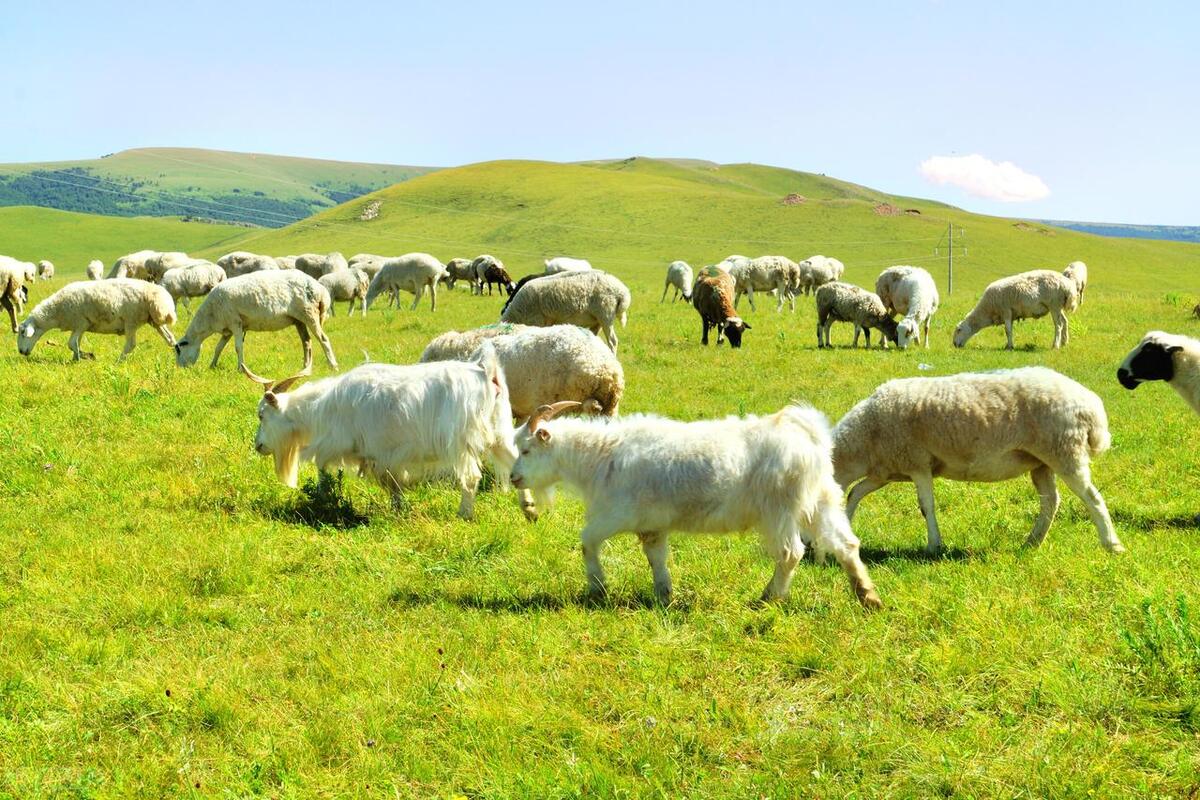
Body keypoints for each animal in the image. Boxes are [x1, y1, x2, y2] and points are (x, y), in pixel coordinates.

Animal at [17, 278, 177, 359]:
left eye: (23, 333)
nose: (21, 352)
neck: (56, 311)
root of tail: (155, 293)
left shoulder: (80, 323)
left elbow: (71, 343)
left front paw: (85, 356)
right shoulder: (81, 326)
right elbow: (75, 343)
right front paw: (76, 358)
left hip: (131, 320)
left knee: (131, 344)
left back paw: (119, 360)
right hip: (154, 320)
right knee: (170, 338)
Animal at [172, 266, 338, 371]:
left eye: (179, 351)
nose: (180, 369)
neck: (209, 317)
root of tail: (321, 290)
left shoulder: (235, 322)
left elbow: (238, 347)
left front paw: (240, 368)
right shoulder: (227, 329)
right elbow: (218, 348)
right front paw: (212, 366)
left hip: (310, 314)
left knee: (323, 339)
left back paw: (333, 365)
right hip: (299, 320)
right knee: (306, 342)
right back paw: (305, 366)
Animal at [244, 343, 520, 520]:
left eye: (262, 415)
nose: (258, 446)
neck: (324, 406)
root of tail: (485, 372)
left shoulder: (347, 445)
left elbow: (323, 468)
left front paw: (322, 499)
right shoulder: (384, 456)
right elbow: (394, 484)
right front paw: (398, 510)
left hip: (462, 443)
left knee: (471, 477)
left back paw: (464, 514)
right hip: (501, 436)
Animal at [499, 268, 633, 350]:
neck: (518, 313)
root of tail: (622, 292)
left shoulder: (537, 321)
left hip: (606, 315)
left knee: (613, 341)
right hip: (597, 321)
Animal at [835, 369, 1123, 556]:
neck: (866, 435)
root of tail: (1092, 406)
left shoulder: (918, 463)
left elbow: (926, 506)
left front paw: (934, 545)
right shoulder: (885, 472)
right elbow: (854, 493)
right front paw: (845, 525)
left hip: (1065, 451)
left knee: (1092, 498)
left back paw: (1112, 544)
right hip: (1042, 462)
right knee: (1050, 501)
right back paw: (1032, 542)